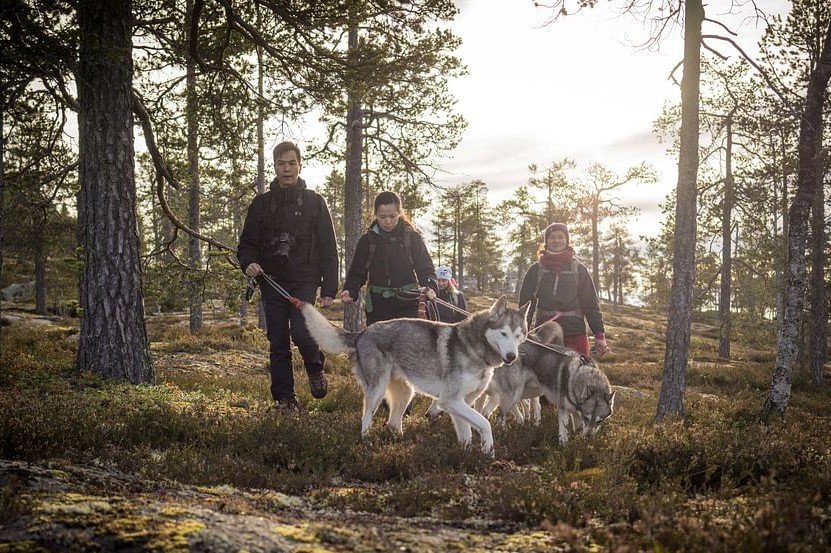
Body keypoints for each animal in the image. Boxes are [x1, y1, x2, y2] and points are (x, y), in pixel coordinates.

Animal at [302, 294, 528, 452]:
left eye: (518, 335)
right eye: (503, 333)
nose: (511, 357)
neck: (476, 349)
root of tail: (362, 332)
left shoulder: (461, 403)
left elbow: (467, 434)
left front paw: (467, 456)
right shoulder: (450, 401)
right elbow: (485, 424)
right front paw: (488, 451)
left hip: (406, 394)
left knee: (392, 423)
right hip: (377, 392)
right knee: (365, 420)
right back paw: (367, 443)